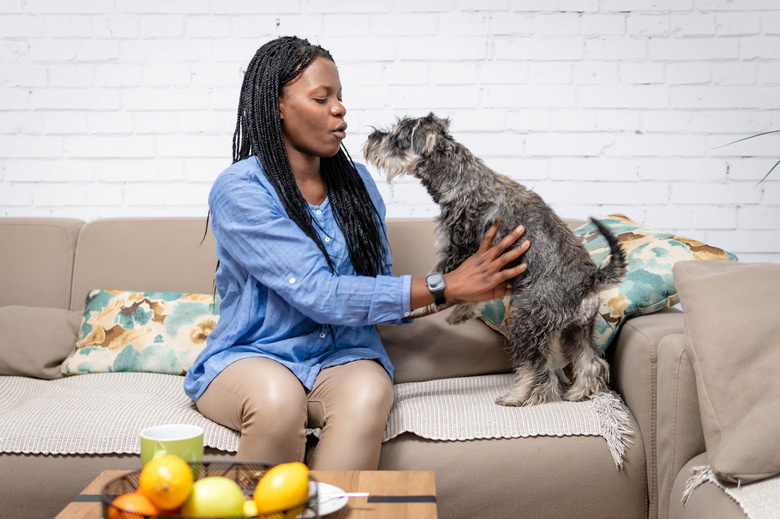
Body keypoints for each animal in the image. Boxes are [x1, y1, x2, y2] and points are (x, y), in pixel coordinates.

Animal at [364, 112, 628, 406]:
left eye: (397, 136)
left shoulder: (458, 248)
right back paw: (579, 392)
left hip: (528, 320)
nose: (371, 137)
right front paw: (461, 313)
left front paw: (417, 307)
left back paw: (518, 396)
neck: (463, 179)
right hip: (577, 329)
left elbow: (439, 274)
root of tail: (591, 280)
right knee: (590, 362)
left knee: (539, 370)